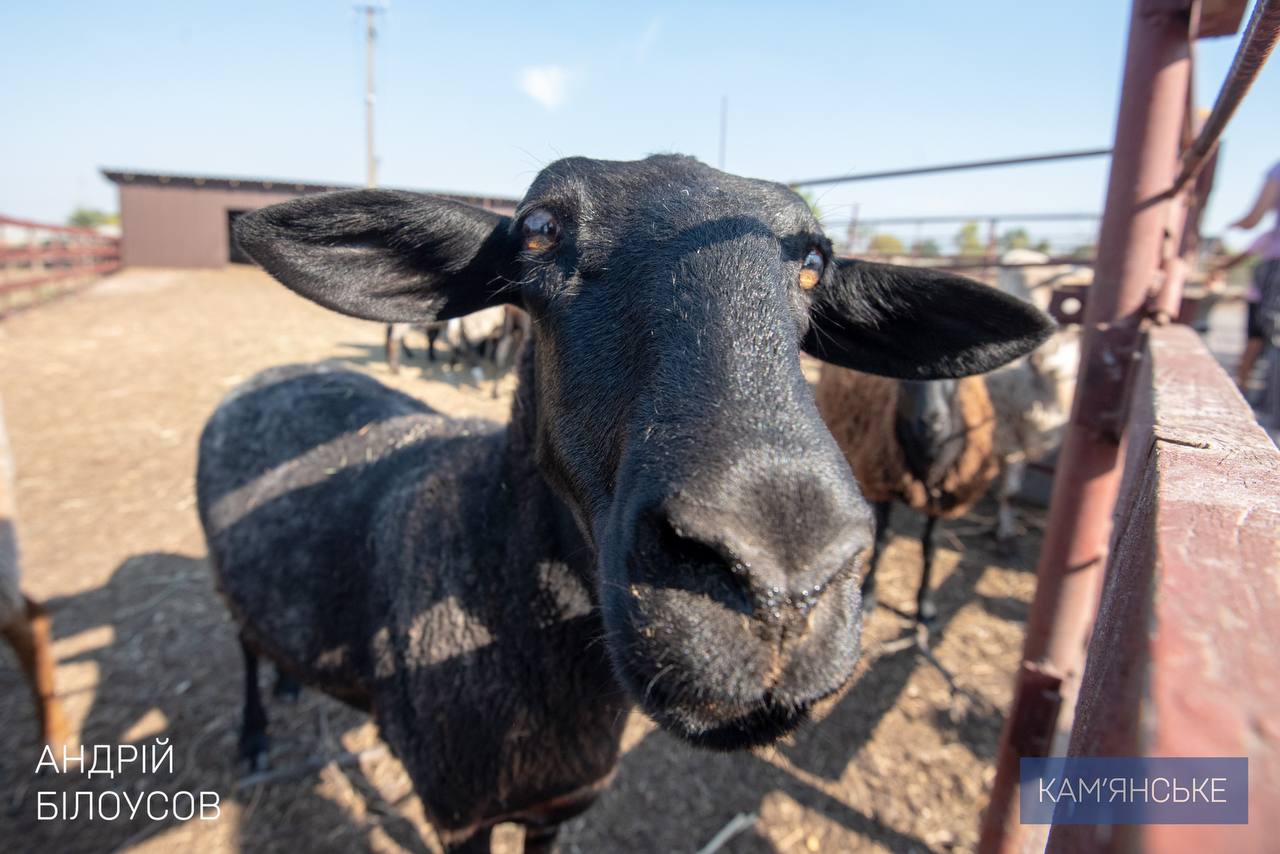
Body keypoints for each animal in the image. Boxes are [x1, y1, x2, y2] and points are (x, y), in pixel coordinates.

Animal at [814, 371, 1003, 624]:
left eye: (956, 379)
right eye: (905, 381)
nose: (932, 422)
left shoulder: (941, 499)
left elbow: (930, 546)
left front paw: (925, 605)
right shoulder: (884, 485)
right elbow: (882, 539)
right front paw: (870, 594)